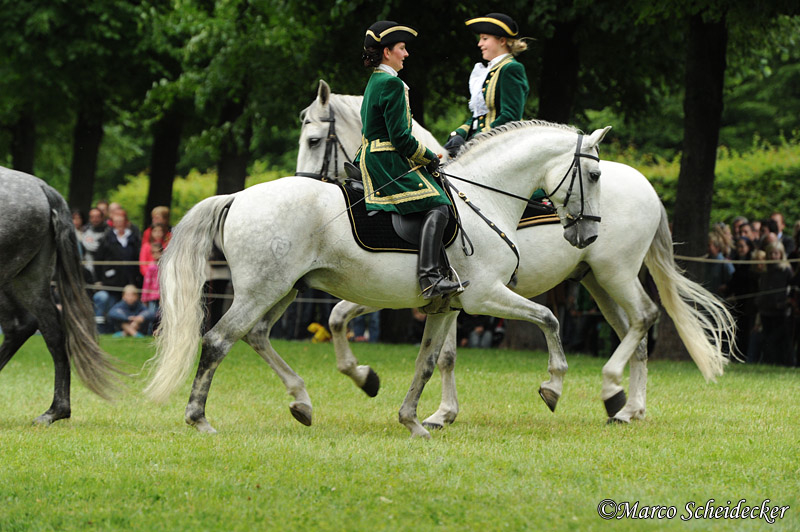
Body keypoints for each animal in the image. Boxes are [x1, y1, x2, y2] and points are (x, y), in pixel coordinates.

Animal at [144, 118, 611, 436]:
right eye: (594, 175)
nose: (587, 235)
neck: (483, 198)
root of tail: (238, 196)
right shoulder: (484, 297)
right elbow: (549, 319)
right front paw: (553, 386)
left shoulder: (447, 307)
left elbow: (427, 362)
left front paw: (413, 421)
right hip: (262, 290)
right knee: (218, 340)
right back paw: (199, 418)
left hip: (284, 290)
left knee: (256, 335)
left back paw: (302, 401)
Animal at [297, 80, 735, 431]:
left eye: (314, 140)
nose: (300, 184)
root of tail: (645, 184)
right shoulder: (422, 293)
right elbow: (346, 321)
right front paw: (381, 384)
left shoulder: (463, 292)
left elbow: (441, 353)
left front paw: (439, 412)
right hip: (597, 280)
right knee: (634, 331)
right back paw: (624, 404)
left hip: (618, 273)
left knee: (645, 317)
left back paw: (620, 395)